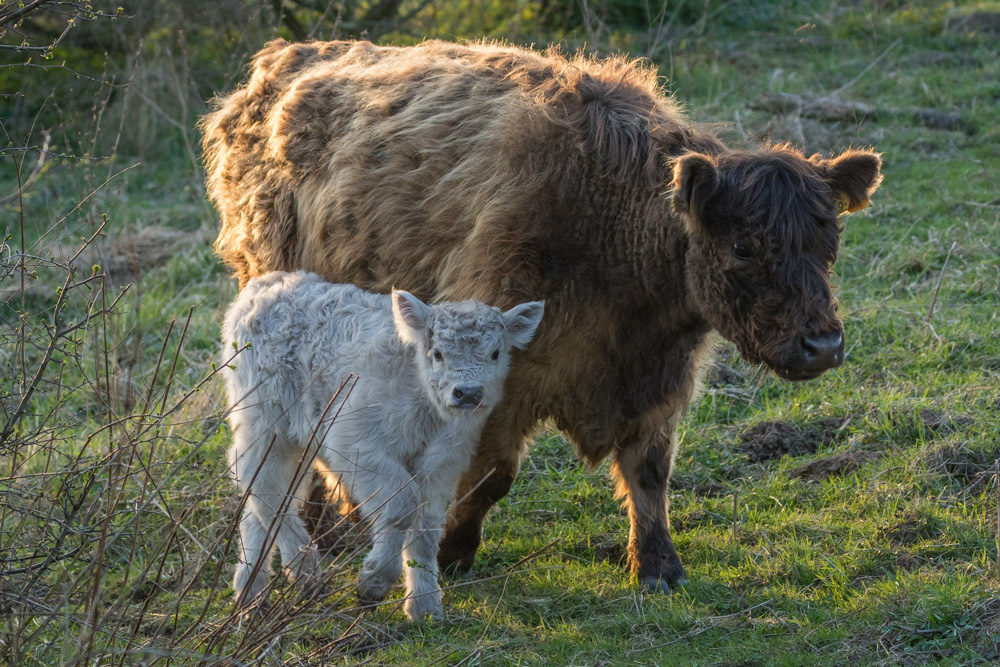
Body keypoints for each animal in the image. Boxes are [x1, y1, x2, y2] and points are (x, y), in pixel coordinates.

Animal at [222, 270, 543, 619]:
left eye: (496, 353)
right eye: (438, 354)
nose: (468, 392)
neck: (421, 399)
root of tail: (268, 283)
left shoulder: (444, 460)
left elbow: (426, 526)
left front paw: (425, 606)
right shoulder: (358, 443)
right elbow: (402, 504)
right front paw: (374, 583)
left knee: (260, 500)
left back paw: (251, 594)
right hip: (264, 418)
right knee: (263, 485)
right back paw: (305, 573)